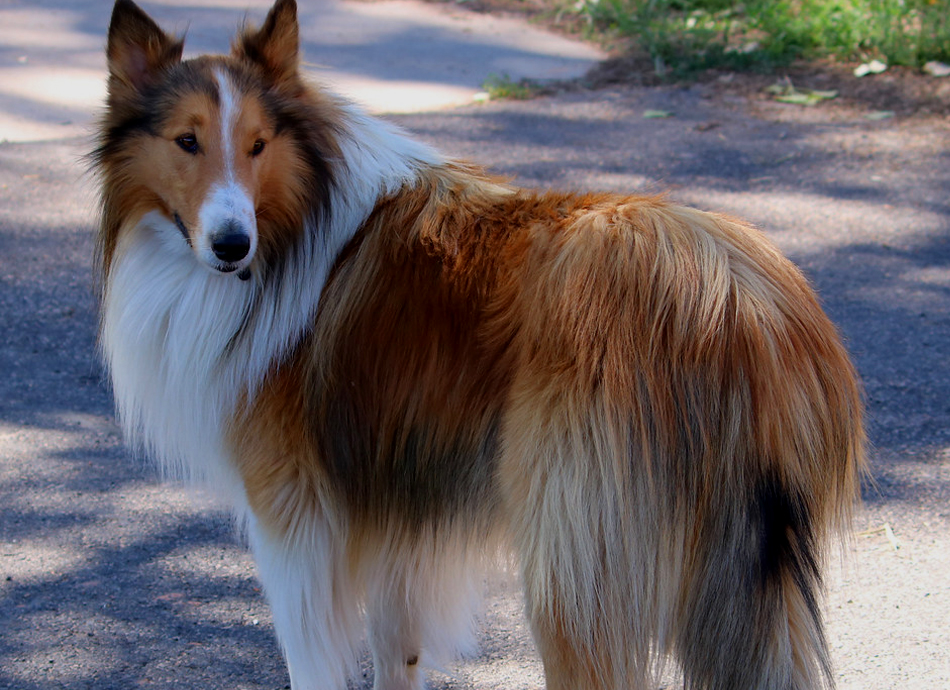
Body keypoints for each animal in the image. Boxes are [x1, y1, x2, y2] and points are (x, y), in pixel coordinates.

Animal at [96, 1, 872, 688]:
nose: (232, 246)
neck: (298, 223)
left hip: (573, 562)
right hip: (752, 575)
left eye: (258, 145)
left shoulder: (292, 518)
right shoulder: (399, 514)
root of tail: (739, 304)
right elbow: (397, 654)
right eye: (187, 141)